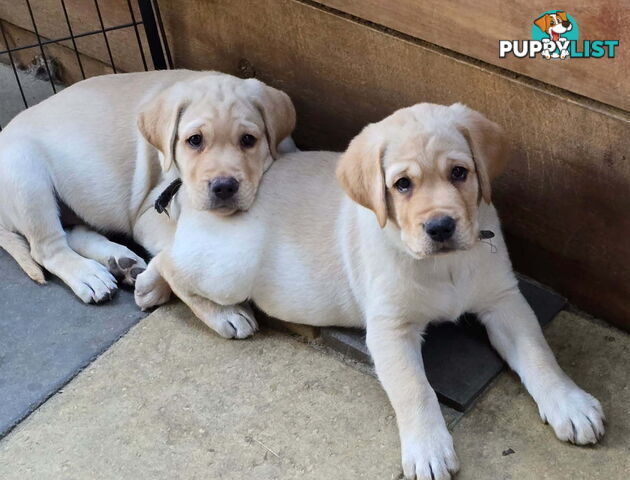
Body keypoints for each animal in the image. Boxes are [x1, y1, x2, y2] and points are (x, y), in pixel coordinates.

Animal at [0, 70, 296, 304]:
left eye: (248, 140)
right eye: (195, 140)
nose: (223, 187)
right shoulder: (149, 215)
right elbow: (181, 247)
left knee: (73, 231)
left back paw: (119, 261)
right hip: (25, 174)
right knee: (48, 248)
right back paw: (89, 276)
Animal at [137, 103, 608, 478]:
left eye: (460, 173)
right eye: (402, 185)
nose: (441, 227)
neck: (443, 265)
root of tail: (196, 191)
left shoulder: (504, 300)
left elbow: (538, 354)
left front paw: (569, 403)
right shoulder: (389, 329)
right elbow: (414, 389)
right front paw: (428, 449)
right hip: (229, 269)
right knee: (173, 263)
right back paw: (210, 309)